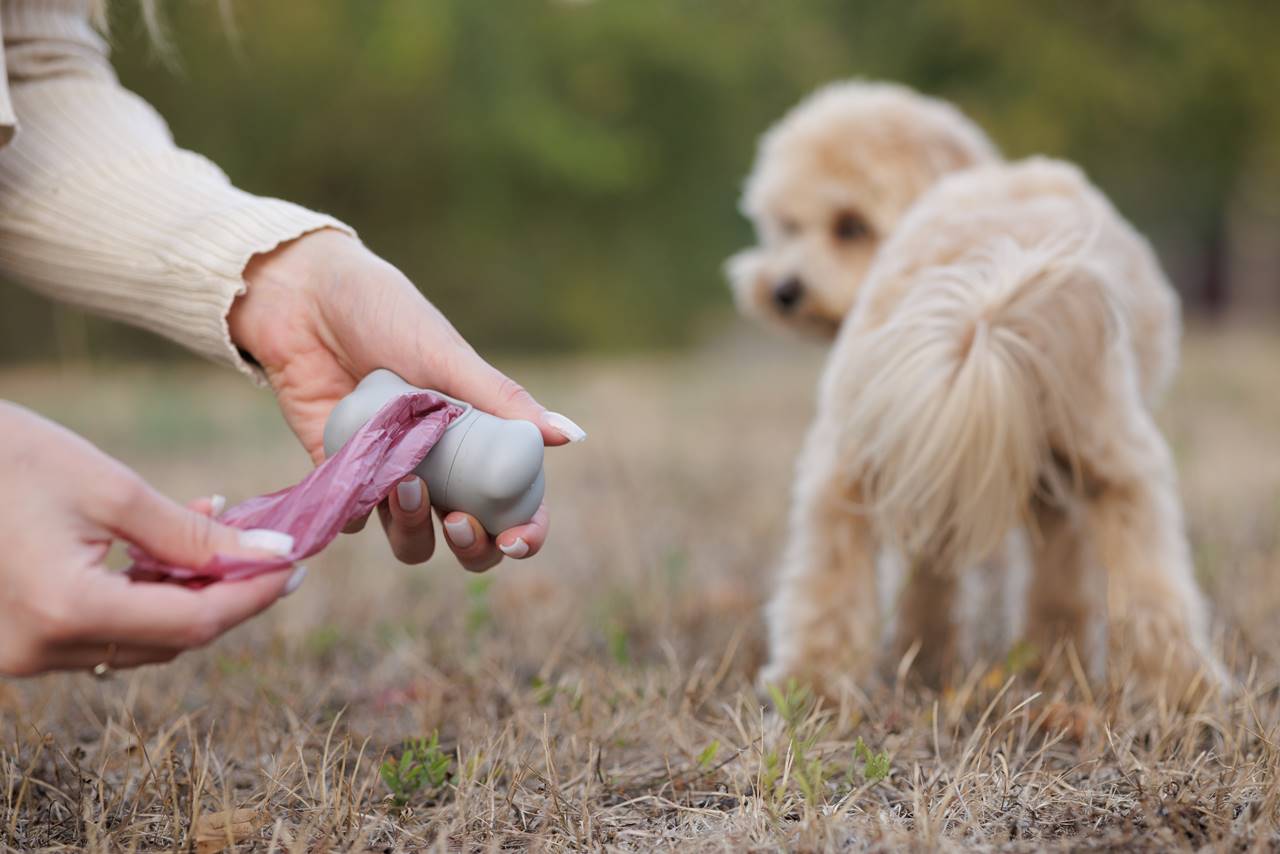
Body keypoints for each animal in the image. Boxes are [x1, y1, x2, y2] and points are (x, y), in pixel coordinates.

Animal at [732, 80, 1218, 701]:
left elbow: (942, 583)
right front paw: (1045, 662)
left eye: (849, 225)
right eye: (789, 226)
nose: (784, 289)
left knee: (827, 573)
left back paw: (809, 682)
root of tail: (982, 290)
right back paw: (1183, 685)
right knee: (1153, 583)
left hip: (859, 439)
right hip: (1107, 448)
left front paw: (935, 659)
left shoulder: (936, 450)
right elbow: (1057, 585)